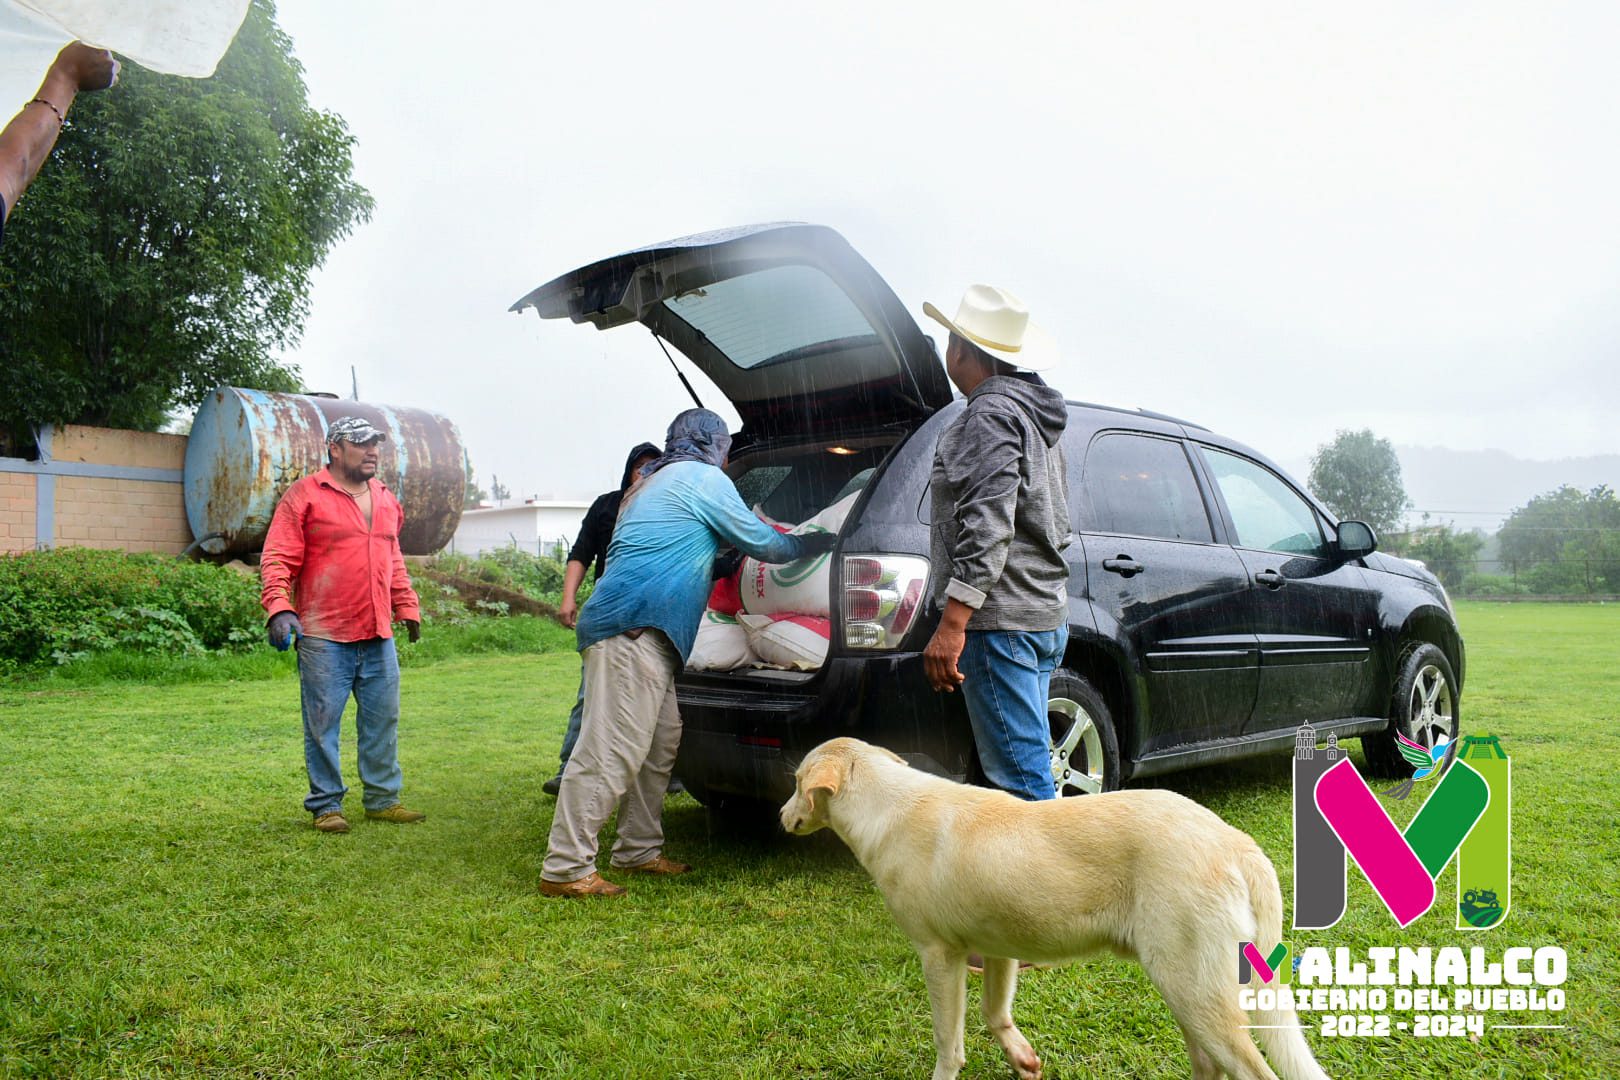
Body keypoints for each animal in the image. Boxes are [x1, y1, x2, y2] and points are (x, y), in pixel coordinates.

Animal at [780, 738, 1328, 1080]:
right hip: (1189, 995)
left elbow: (948, 1044)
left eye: (797, 783)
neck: (887, 806)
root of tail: (1237, 843)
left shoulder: (939, 956)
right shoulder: (997, 947)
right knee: (1209, 1065)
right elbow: (994, 1012)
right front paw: (1022, 1059)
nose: (781, 815)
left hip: (1195, 992)